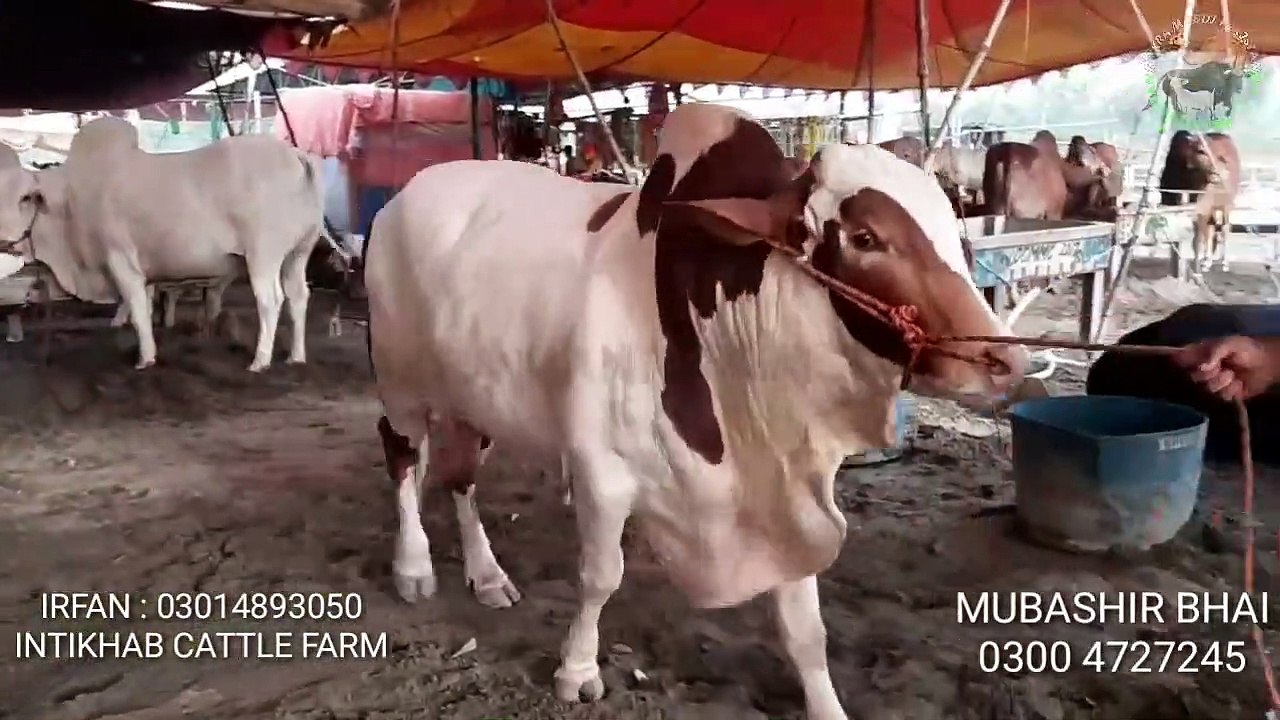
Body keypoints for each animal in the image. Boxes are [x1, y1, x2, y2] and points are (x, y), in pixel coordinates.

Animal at [0, 117, 339, 371]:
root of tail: (295, 155)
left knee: (270, 300)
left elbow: (137, 310)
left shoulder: (121, 261)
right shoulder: (147, 273)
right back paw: (296, 356)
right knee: (298, 296)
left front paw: (145, 359)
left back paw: (260, 361)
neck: (71, 199)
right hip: (298, 253)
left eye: (25, 198)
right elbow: (147, 308)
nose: (4, 240)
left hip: (263, 256)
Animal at [364, 103, 1027, 718]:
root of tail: (409, 192)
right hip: (401, 383)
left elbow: (805, 628)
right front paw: (577, 669)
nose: (1005, 361)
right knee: (401, 455)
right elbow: (600, 576)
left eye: (957, 233)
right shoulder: (601, 470)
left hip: (472, 396)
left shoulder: (785, 486)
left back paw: (487, 574)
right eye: (865, 238)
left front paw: (825, 703)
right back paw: (413, 565)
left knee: (459, 476)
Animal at [1158, 130, 1241, 273]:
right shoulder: (1170, 200)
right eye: (1201, 150)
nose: (1219, 173)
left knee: (1224, 229)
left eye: (1215, 151)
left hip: (1226, 205)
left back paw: (1223, 262)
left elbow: (1199, 237)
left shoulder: (1202, 206)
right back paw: (1208, 260)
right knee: (1211, 229)